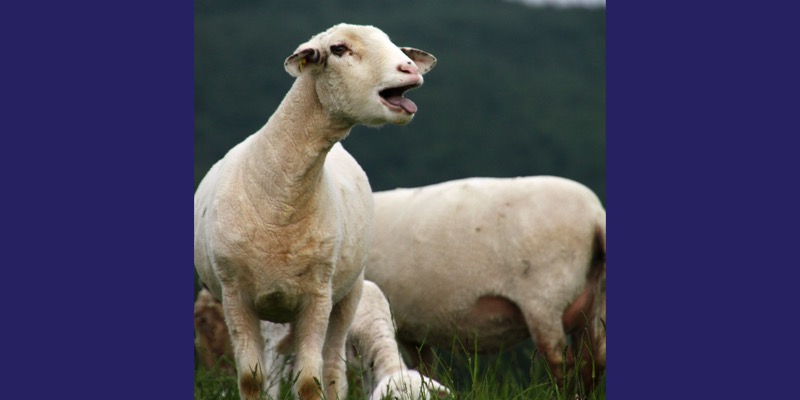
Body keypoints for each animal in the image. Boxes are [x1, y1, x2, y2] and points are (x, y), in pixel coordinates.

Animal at [194, 23, 436, 400]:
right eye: (338, 49)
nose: (409, 68)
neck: (281, 195)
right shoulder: (235, 296)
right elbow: (251, 379)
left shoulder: (317, 296)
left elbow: (310, 382)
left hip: (348, 294)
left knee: (333, 367)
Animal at [364, 176, 606, 391]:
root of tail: (596, 216)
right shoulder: (414, 331)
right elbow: (423, 370)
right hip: (594, 300)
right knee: (592, 362)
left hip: (545, 297)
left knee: (563, 363)